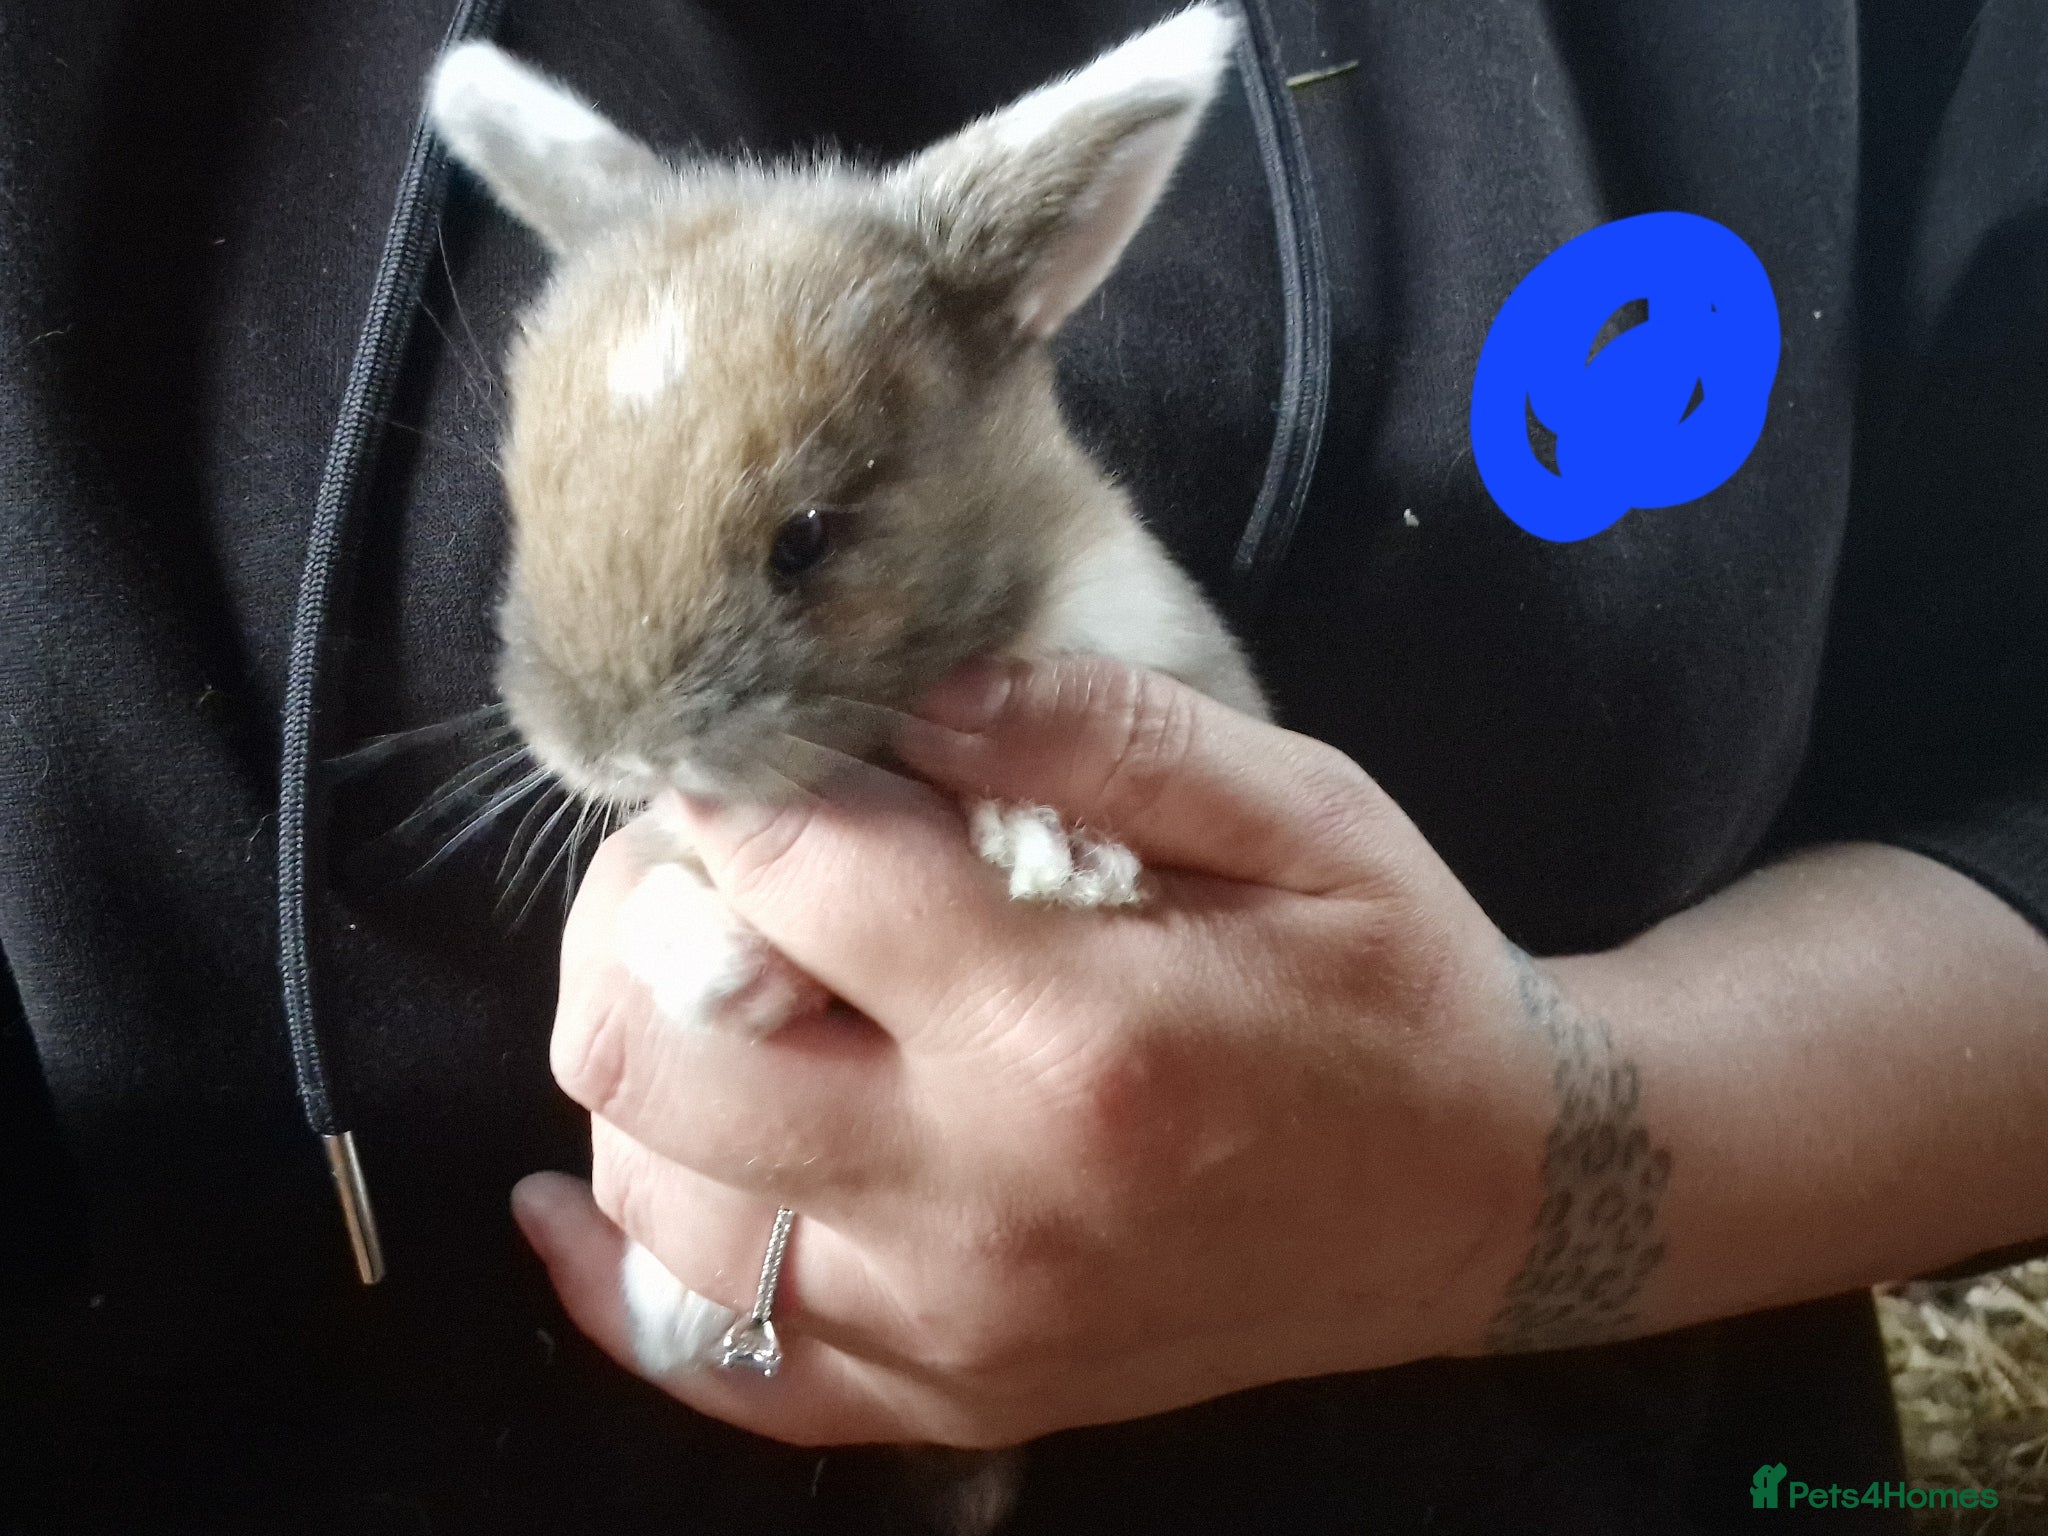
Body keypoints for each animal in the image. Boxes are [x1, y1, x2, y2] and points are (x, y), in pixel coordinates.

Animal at [427, 5, 1267, 1528]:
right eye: (525, 507)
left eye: (808, 538)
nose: (604, 747)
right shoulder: (672, 843)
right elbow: (657, 910)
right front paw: (734, 974)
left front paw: (1054, 851)